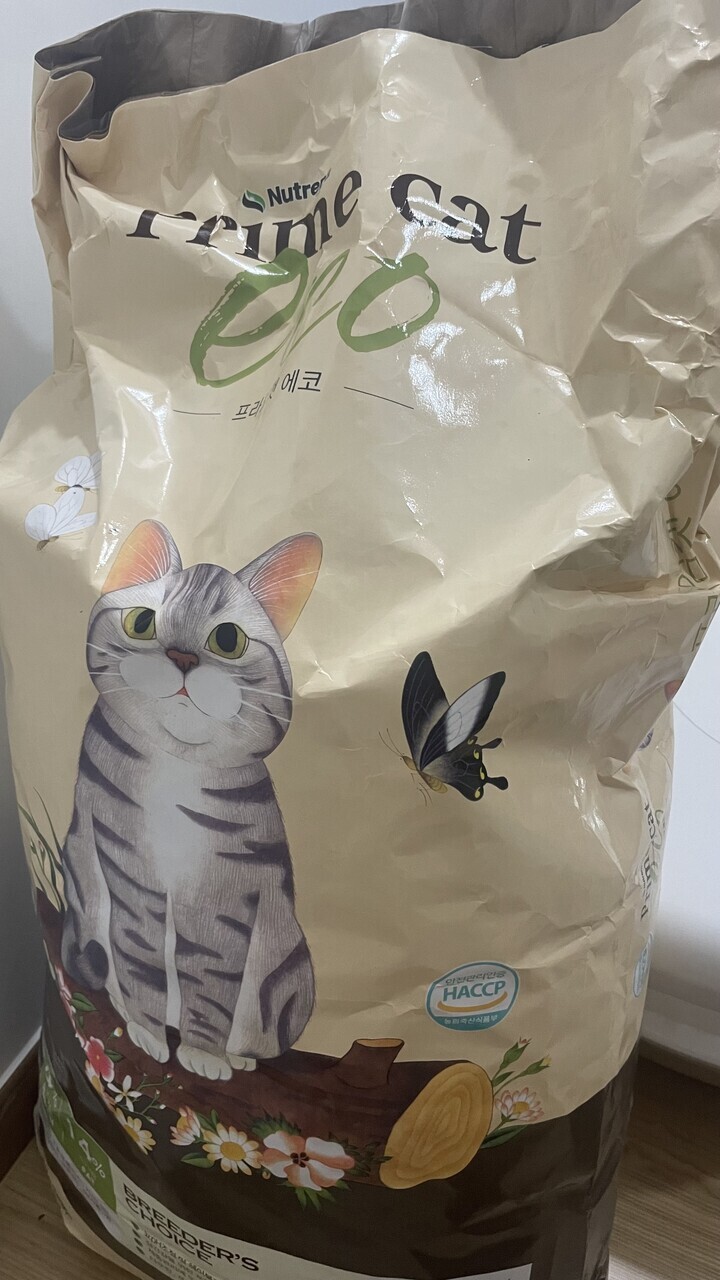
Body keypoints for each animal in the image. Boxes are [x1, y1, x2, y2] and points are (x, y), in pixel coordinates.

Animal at [61, 519, 321, 1082]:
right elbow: (139, 960)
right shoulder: (129, 871)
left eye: (227, 639)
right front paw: (146, 1030)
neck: (175, 769)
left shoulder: (223, 898)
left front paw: (204, 1054)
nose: (180, 658)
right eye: (142, 623)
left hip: (291, 972)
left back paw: (239, 1056)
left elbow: (211, 987)